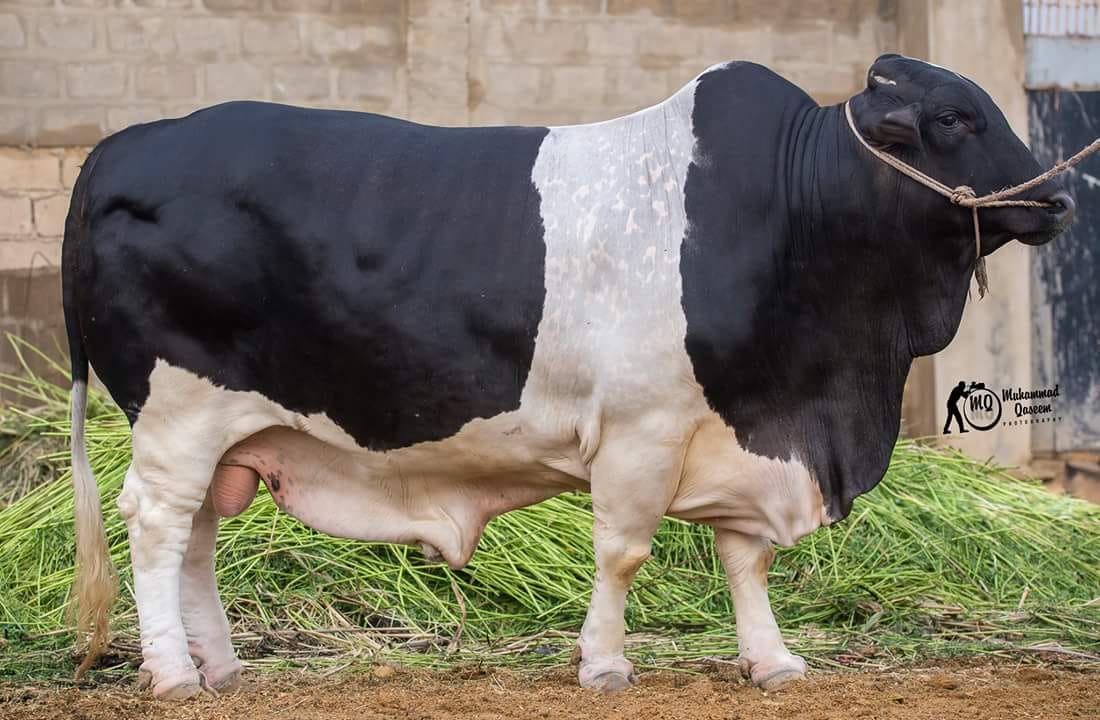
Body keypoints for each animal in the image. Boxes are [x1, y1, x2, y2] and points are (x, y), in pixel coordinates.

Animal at [63, 54, 1074, 699]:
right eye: (953, 118)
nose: (1061, 196)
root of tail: (124, 144)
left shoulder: (742, 429)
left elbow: (745, 558)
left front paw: (773, 661)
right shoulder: (643, 428)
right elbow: (623, 550)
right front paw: (605, 665)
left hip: (223, 432)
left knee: (195, 536)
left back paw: (220, 666)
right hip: (178, 414)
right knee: (156, 527)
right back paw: (171, 674)